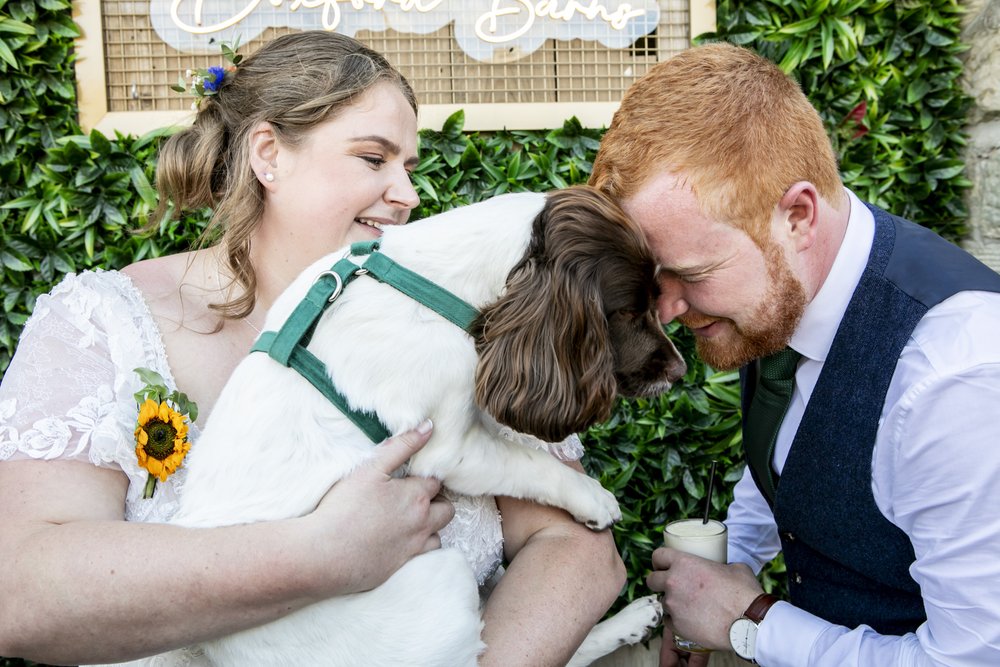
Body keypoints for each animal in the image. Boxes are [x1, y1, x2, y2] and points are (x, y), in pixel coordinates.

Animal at [172, 187, 688, 667]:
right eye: (628, 311)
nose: (681, 370)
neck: (432, 282)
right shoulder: (449, 449)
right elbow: (532, 464)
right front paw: (595, 500)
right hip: (445, 580)